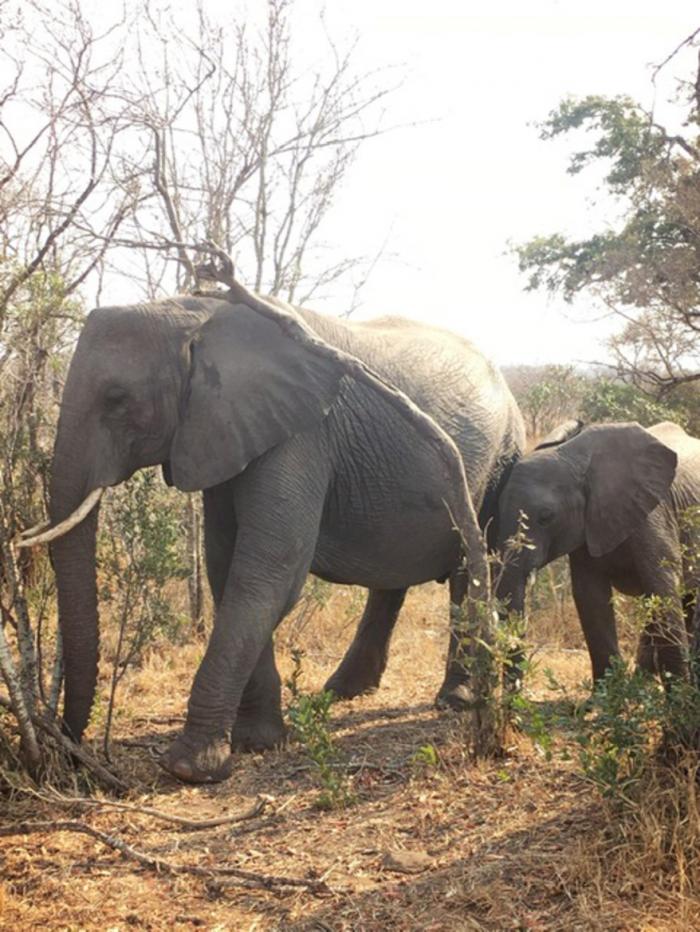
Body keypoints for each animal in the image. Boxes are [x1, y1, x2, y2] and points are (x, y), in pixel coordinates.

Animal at [24, 274, 524, 780]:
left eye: (117, 400)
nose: (71, 751)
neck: (197, 313)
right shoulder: (224, 428)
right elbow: (226, 564)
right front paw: (259, 742)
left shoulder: (300, 433)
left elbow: (269, 566)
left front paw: (191, 768)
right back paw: (342, 691)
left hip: (501, 459)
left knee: (470, 565)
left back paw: (454, 701)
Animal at [492, 418, 700, 680]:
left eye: (546, 517)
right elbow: (591, 598)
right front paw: (607, 689)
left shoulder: (654, 516)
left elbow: (662, 591)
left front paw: (677, 688)